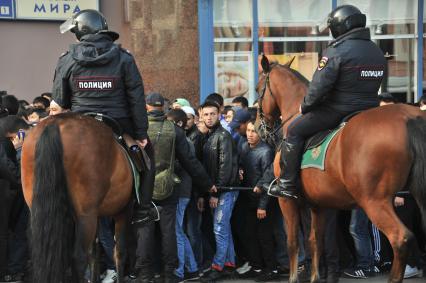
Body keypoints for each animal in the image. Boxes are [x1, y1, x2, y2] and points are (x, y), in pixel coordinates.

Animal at [20, 113, 132, 283]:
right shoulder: (123, 211)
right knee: (78, 258)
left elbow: (95, 253)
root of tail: (55, 122)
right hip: (86, 216)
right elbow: (119, 252)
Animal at [255, 55, 426, 283]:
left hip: (374, 201)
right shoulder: (319, 204)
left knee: (401, 238)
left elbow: (293, 243)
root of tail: (409, 118)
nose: (259, 127)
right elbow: (315, 242)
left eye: (258, 89)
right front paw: (315, 277)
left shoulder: (286, 201)